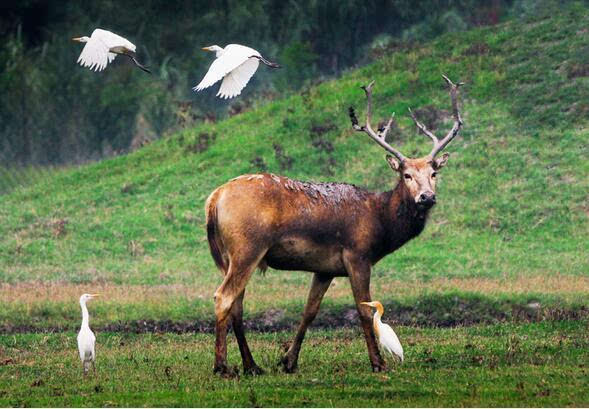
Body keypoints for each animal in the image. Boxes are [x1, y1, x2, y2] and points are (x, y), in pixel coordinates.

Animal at [204, 75, 462, 374]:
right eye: (406, 175)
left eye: (434, 173)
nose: (427, 197)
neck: (381, 223)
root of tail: (214, 198)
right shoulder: (357, 255)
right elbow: (364, 309)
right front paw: (378, 362)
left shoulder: (324, 269)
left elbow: (309, 311)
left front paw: (288, 361)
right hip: (248, 246)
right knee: (223, 297)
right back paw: (222, 367)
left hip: (229, 255)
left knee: (237, 303)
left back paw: (251, 365)